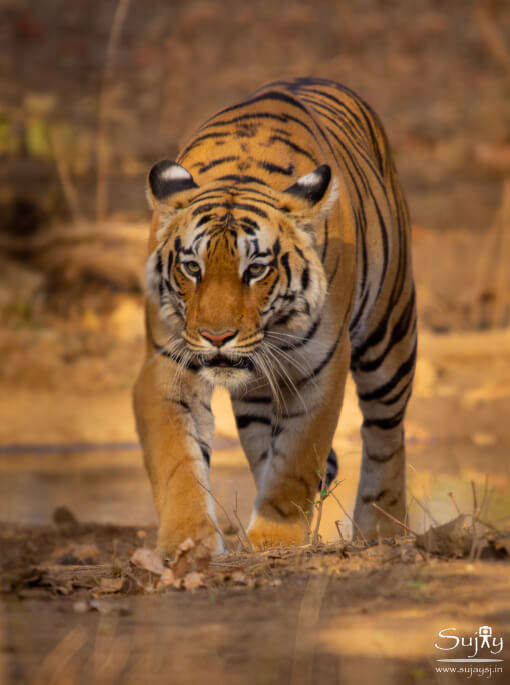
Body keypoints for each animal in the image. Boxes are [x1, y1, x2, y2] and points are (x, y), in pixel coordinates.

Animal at [134, 76, 417, 556]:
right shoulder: (167, 364)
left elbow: (296, 462)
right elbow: (178, 461)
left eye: (255, 270)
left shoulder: (319, 369)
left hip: (390, 335)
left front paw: (274, 538)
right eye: (192, 267)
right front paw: (187, 542)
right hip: (257, 398)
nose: (216, 337)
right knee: (263, 443)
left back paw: (383, 527)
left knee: (385, 432)